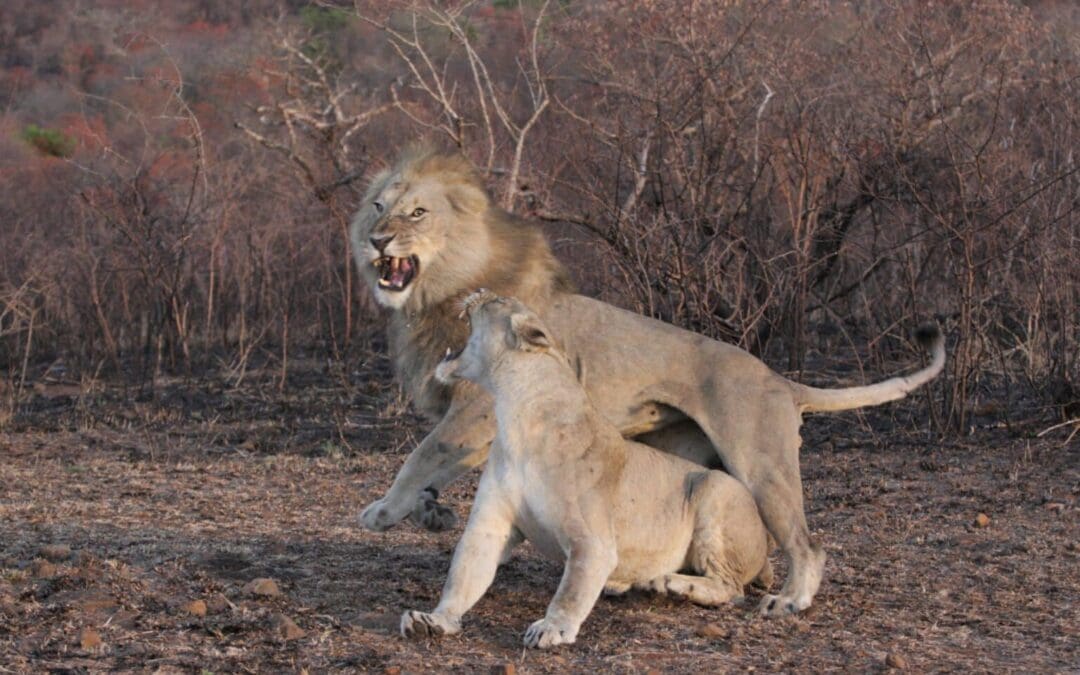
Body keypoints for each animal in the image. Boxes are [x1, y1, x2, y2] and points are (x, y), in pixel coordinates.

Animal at [401, 291, 773, 648]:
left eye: (496, 299)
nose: (476, 290)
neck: (516, 418)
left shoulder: (593, 542)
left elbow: (571, 590)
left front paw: (551, 628)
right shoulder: (489, 525)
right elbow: (463, 576)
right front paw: (434, 620)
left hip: (716, 488)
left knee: (732, 588)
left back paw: (673, 585)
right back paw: (629, 583)